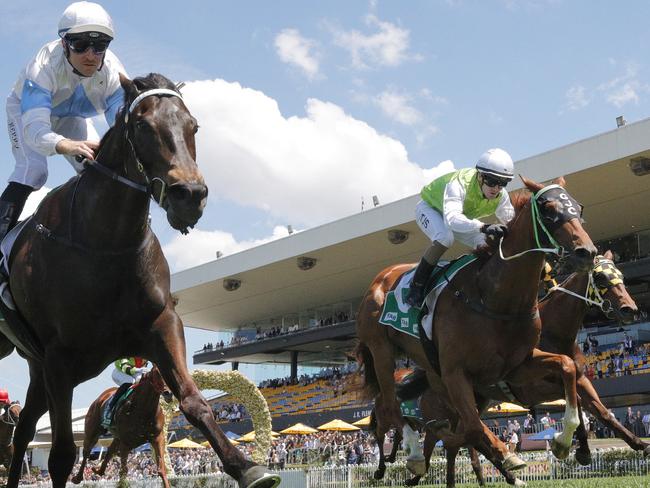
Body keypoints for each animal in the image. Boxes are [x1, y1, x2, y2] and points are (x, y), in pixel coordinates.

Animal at [0, 72, 278, 488]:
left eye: (194, 126)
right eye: (144, 126)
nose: (189, 195)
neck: (105, 243)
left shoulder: (161, 325)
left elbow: (195, 402)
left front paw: (246, 467)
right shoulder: (60, 356)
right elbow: (62, 454)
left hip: (36, 366)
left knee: (24, 431)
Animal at [356, 176, 596, 484]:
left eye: (578, 207)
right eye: (548, 209)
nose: (586, 252)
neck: (495, 298)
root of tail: (379, 279)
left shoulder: (515, 367)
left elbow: (567, 366)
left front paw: (564, 441)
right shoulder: (456, 372)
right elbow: (471, 426)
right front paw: (508, 456)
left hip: (432, 370)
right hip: (382, 350)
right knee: (390, 406)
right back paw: (412, 454)